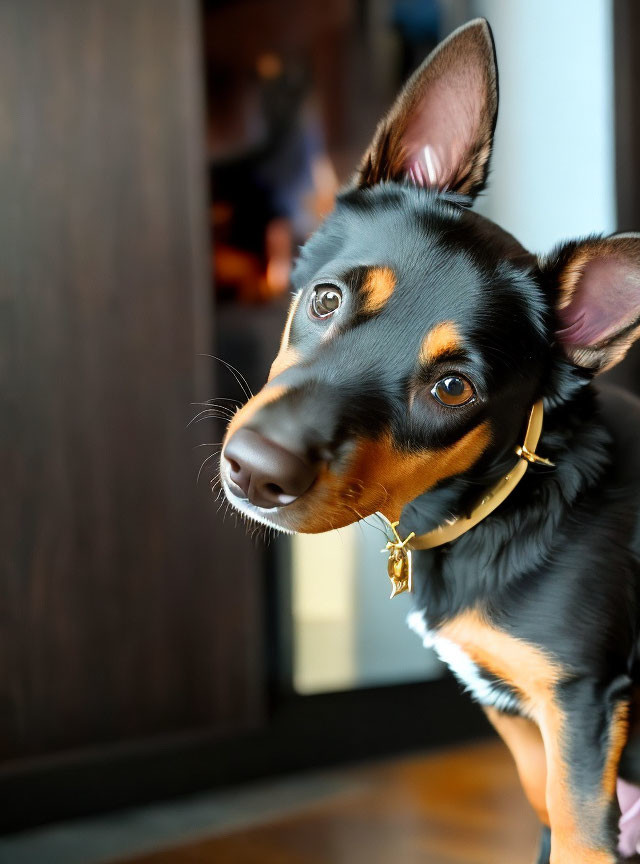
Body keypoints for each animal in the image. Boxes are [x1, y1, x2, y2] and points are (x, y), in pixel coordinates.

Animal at [218, 20, 640, 864]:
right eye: (325, 298)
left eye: (453, 389)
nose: (254, 472)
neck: (499, 507)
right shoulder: (523, 721)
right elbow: (544, 805)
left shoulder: (581, 701)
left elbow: (579, 832)